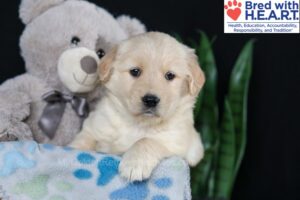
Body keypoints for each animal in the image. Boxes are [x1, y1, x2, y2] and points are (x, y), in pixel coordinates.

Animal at [70, 31, 206, 181]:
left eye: (170, 75)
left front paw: (134, 164)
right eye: (135, 71)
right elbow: (82, 141)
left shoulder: (179, 144)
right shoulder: (95, 125)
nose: (151, 100)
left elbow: (147, 140)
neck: (139, 124)